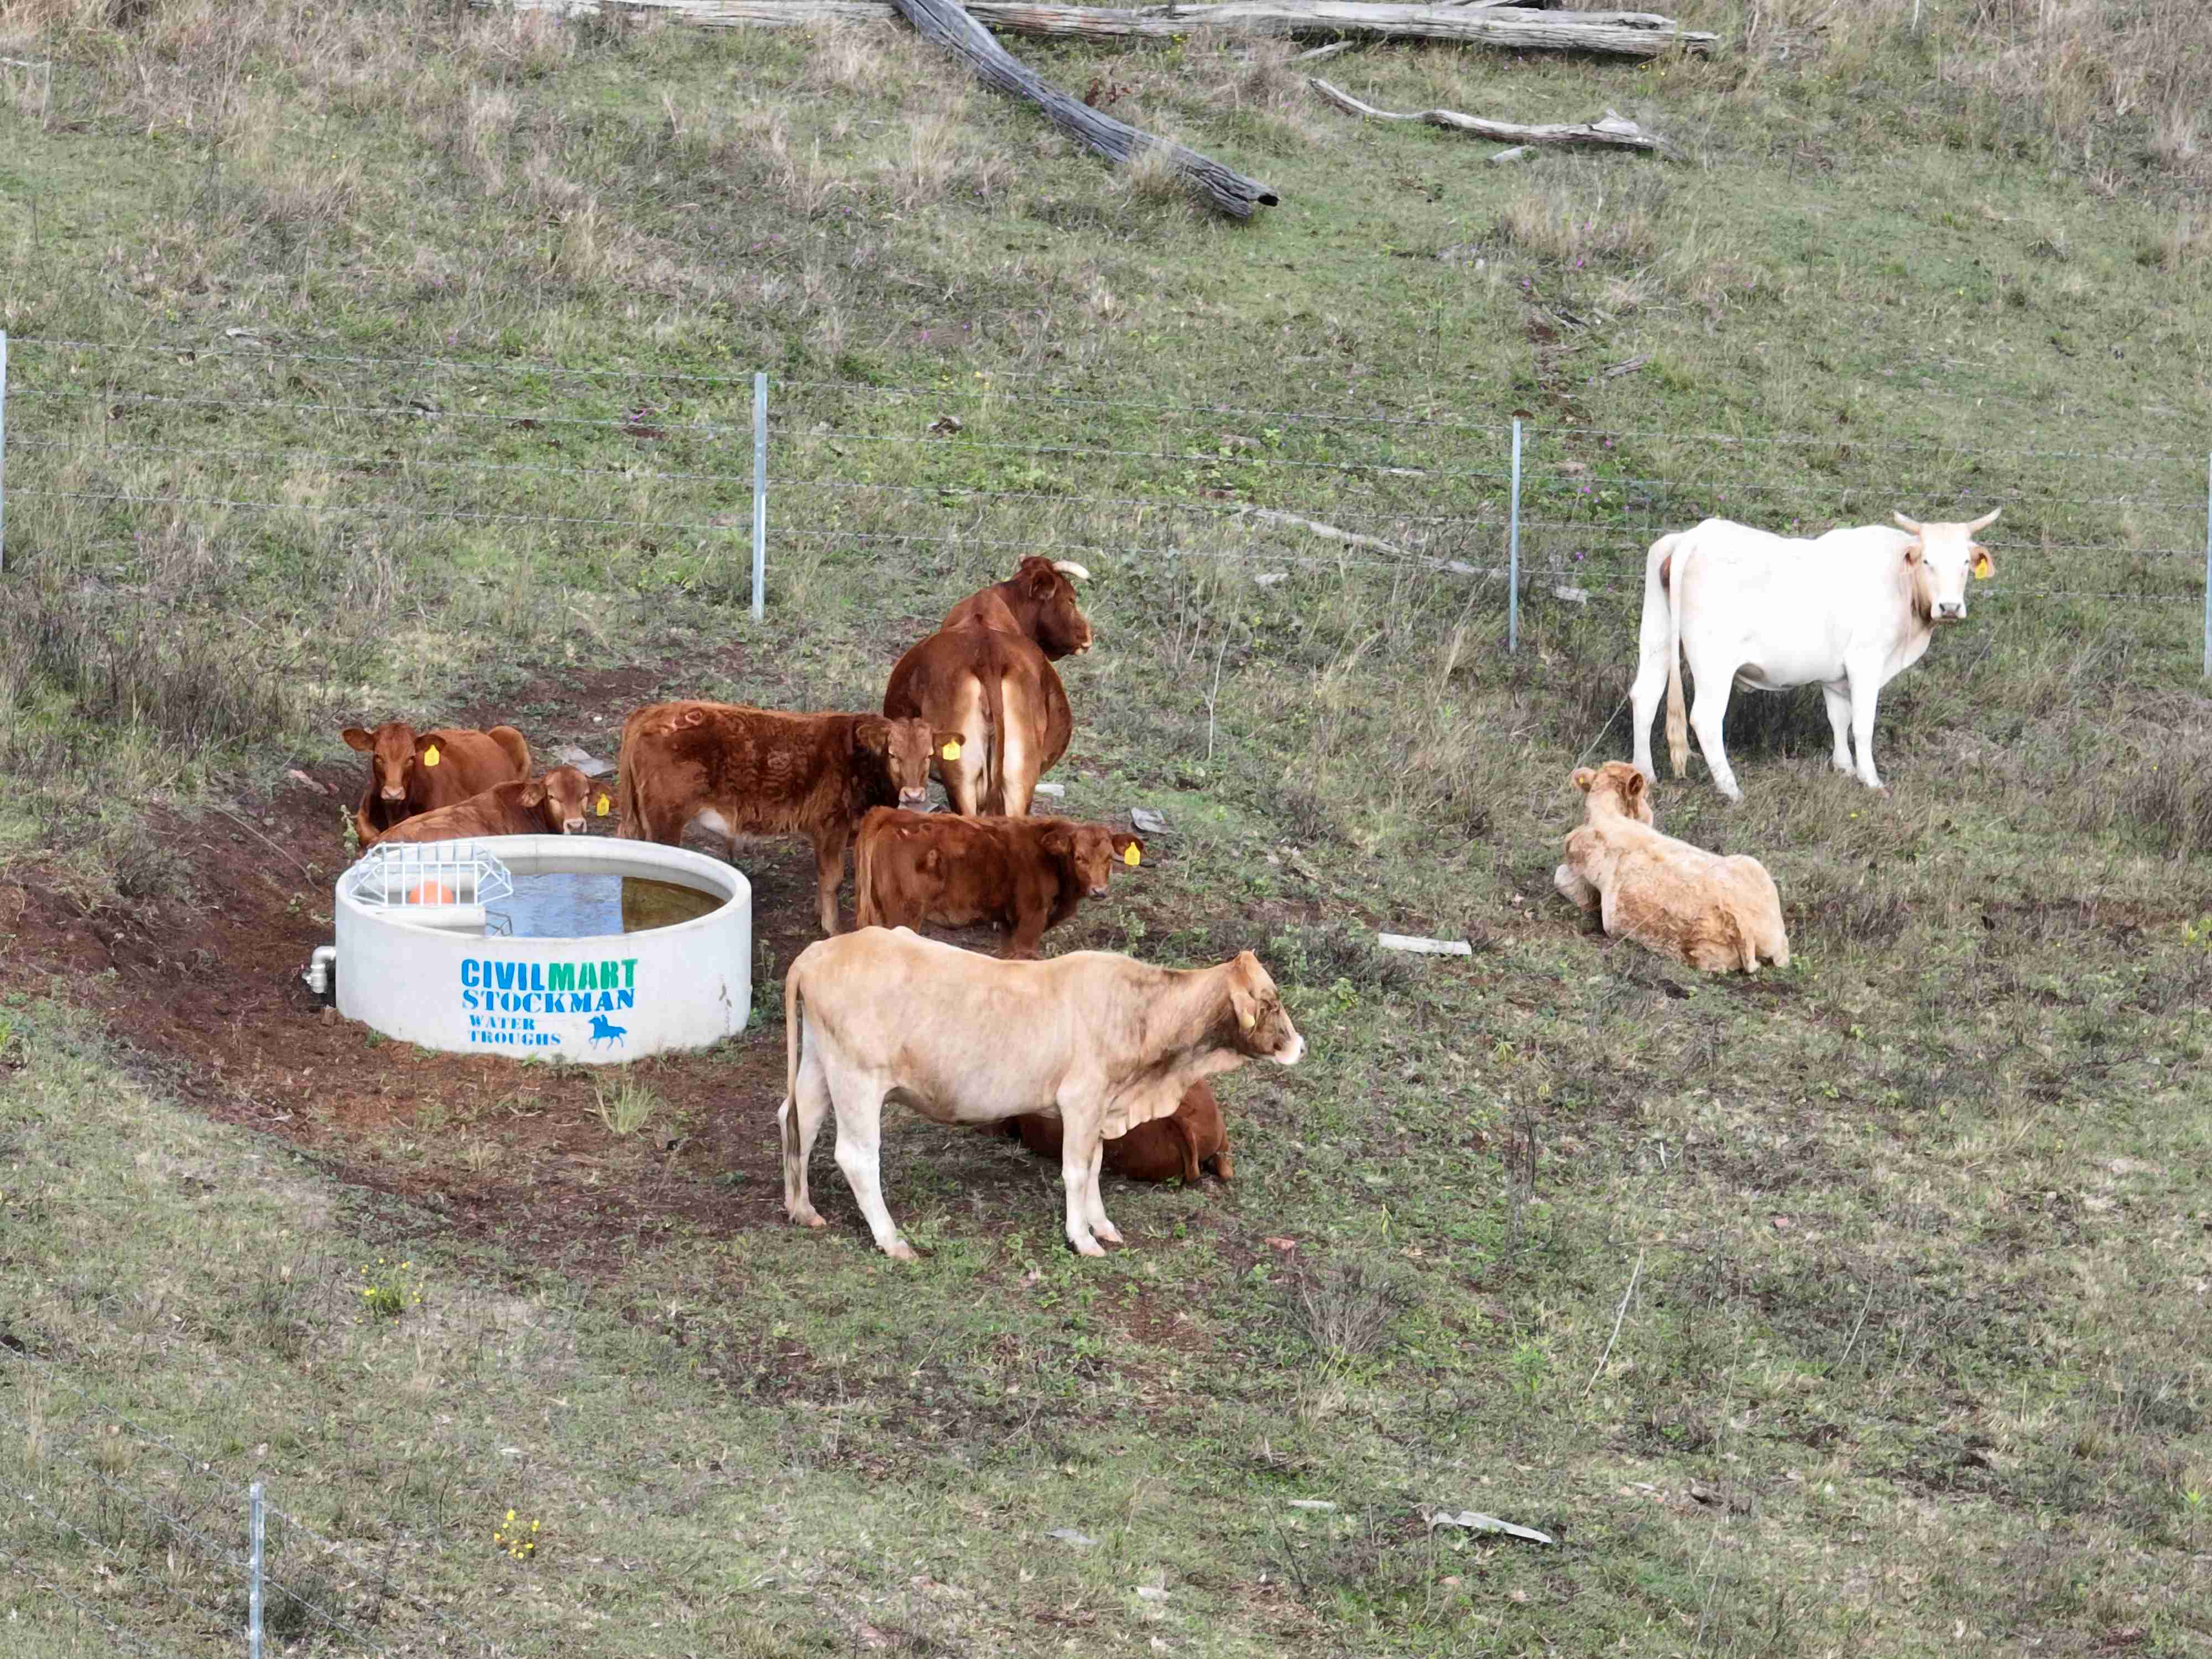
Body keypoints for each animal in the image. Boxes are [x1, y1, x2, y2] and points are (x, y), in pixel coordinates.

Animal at [614, 701, 950, 935]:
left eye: (929, 755)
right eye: (893, 754)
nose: (914, 795)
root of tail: (652, 712)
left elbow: (822, 877)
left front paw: (818, 913)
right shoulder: (831, 825)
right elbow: (833, 878)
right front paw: (832, 927)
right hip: (664, 823)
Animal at [852, 807, 1144, 959]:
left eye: (1109, 858)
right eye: (1079, 857)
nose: (1099, 891)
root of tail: (893, 814)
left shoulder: (1008, 924)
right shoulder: (1030, 922)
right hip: (904, 914)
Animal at [1627, 509, 2000, 800]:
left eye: (1965, 563)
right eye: (1927, 561)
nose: (1950, 607)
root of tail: (1696, 535)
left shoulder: (1836, 673)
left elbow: (1839, 717)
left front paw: (1844, 767)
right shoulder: (1865, 661)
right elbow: (1862, 724)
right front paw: (1871, 780)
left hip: (1658, 638)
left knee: (1646, 696)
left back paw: (1646, 775)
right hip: (1714, 662)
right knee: (1705, 718)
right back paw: (1731, 789)